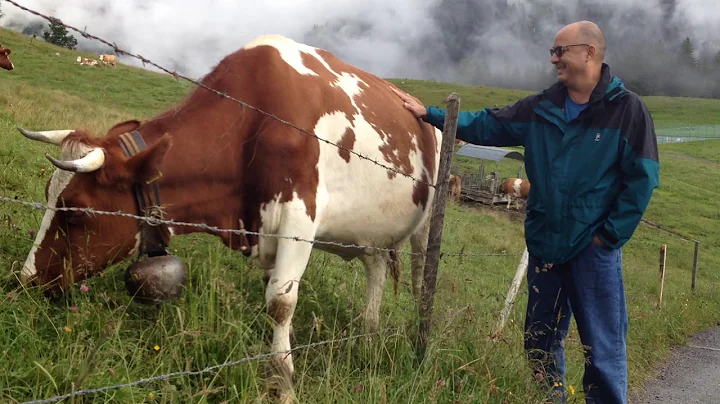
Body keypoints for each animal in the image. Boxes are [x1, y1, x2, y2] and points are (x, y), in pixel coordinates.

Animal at [16, 34, 442, 400]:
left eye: (77, 211)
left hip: (425, 226)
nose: (25, 280)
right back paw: (368, 335)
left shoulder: (299, 218)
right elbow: (271, 291)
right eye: (48, 193)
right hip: (373, 232)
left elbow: (281, 302)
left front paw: (283, 383)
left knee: (421, 278)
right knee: (376, 270)